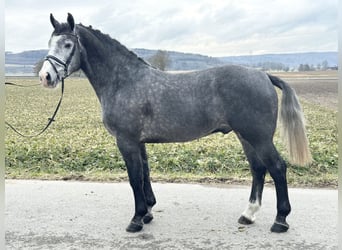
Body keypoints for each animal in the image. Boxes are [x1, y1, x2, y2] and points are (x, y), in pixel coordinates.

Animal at [38, 13, 312, 232]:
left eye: (67, 44)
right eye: (49, 43)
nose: (46, 76)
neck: (124, 80)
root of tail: (263, 75)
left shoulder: (126, 141)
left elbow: (134, 178)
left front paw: (136, 220)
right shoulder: (138, 142)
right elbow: (145, 174)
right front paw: (147, 213)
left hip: (259, 137)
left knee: (277, 168)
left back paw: (280, 221)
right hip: (246, 137)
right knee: (258, 169)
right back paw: (248, 215)